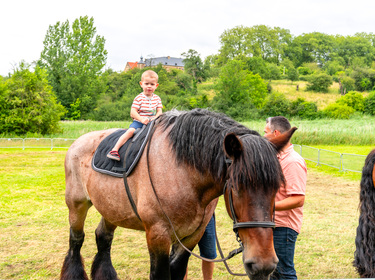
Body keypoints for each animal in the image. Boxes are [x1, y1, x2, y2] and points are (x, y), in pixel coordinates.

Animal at [61, 109, 296, 280]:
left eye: (277, 189)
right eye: (237, 188)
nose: (264, 264)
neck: (182, 172)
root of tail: (79, 141)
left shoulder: (192, 236)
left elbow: (177, 270)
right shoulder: (158, 235)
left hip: (112, 209)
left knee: (103, 237)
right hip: (77, 205)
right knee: (76, 240)